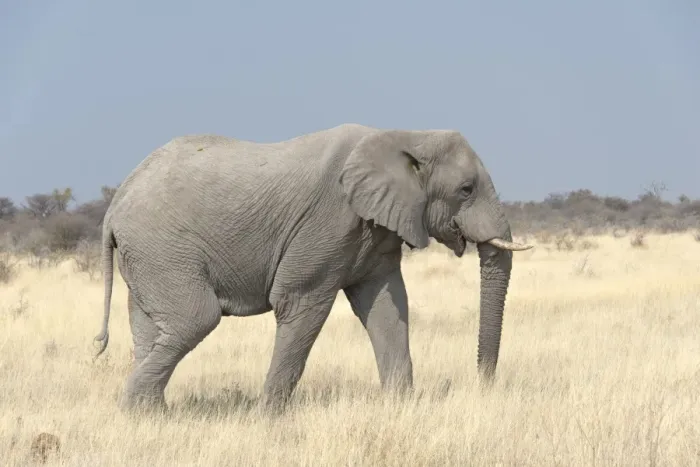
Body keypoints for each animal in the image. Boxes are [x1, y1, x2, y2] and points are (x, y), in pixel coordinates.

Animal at [93, 123, 532, 412]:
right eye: (466, 190)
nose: (483, 385)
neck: (404, 135)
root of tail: (115, 205)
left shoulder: (374, 231)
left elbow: (386, 307)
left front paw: (401, 409)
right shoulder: (327, 222)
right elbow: (301, 305)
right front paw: (268, 419)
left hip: (149, 256)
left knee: (151, 327)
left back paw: (151, 416)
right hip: (163, 248)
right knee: (195, 318)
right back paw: (132, 412)